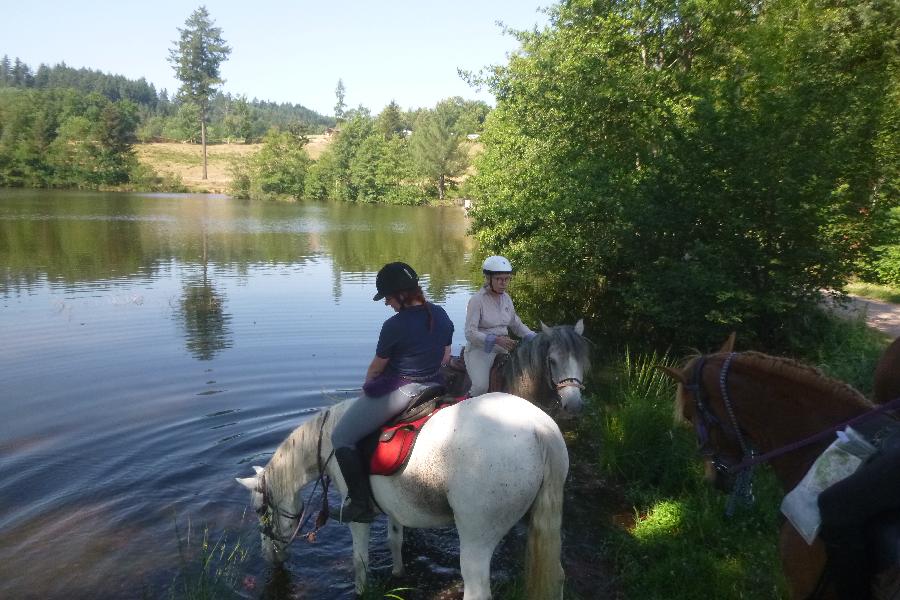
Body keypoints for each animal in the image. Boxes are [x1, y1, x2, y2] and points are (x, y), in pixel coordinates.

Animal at [236, 392, 568, 596]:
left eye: (259, 510)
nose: (269, 557)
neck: (328, 439)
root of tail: (538, 427)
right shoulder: (394, 508)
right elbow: (394, 540)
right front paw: (397, 572)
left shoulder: (358, 517)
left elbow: (360, 560)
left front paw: (361, 591)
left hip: (476, 539)